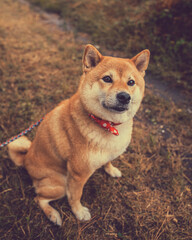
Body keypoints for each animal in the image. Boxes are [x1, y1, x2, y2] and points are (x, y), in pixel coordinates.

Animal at [8, 44, 150, 226]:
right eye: (107, 79)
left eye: (131, 82)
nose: (125, 96)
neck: (107, 124)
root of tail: (25, 160)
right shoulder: (77, 175)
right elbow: (75, 196)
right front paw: (79, 212)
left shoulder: (108, 153)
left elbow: (108, 160)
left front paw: (111, 169)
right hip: (60, 184)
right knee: (38, 199)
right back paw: (53, 215)